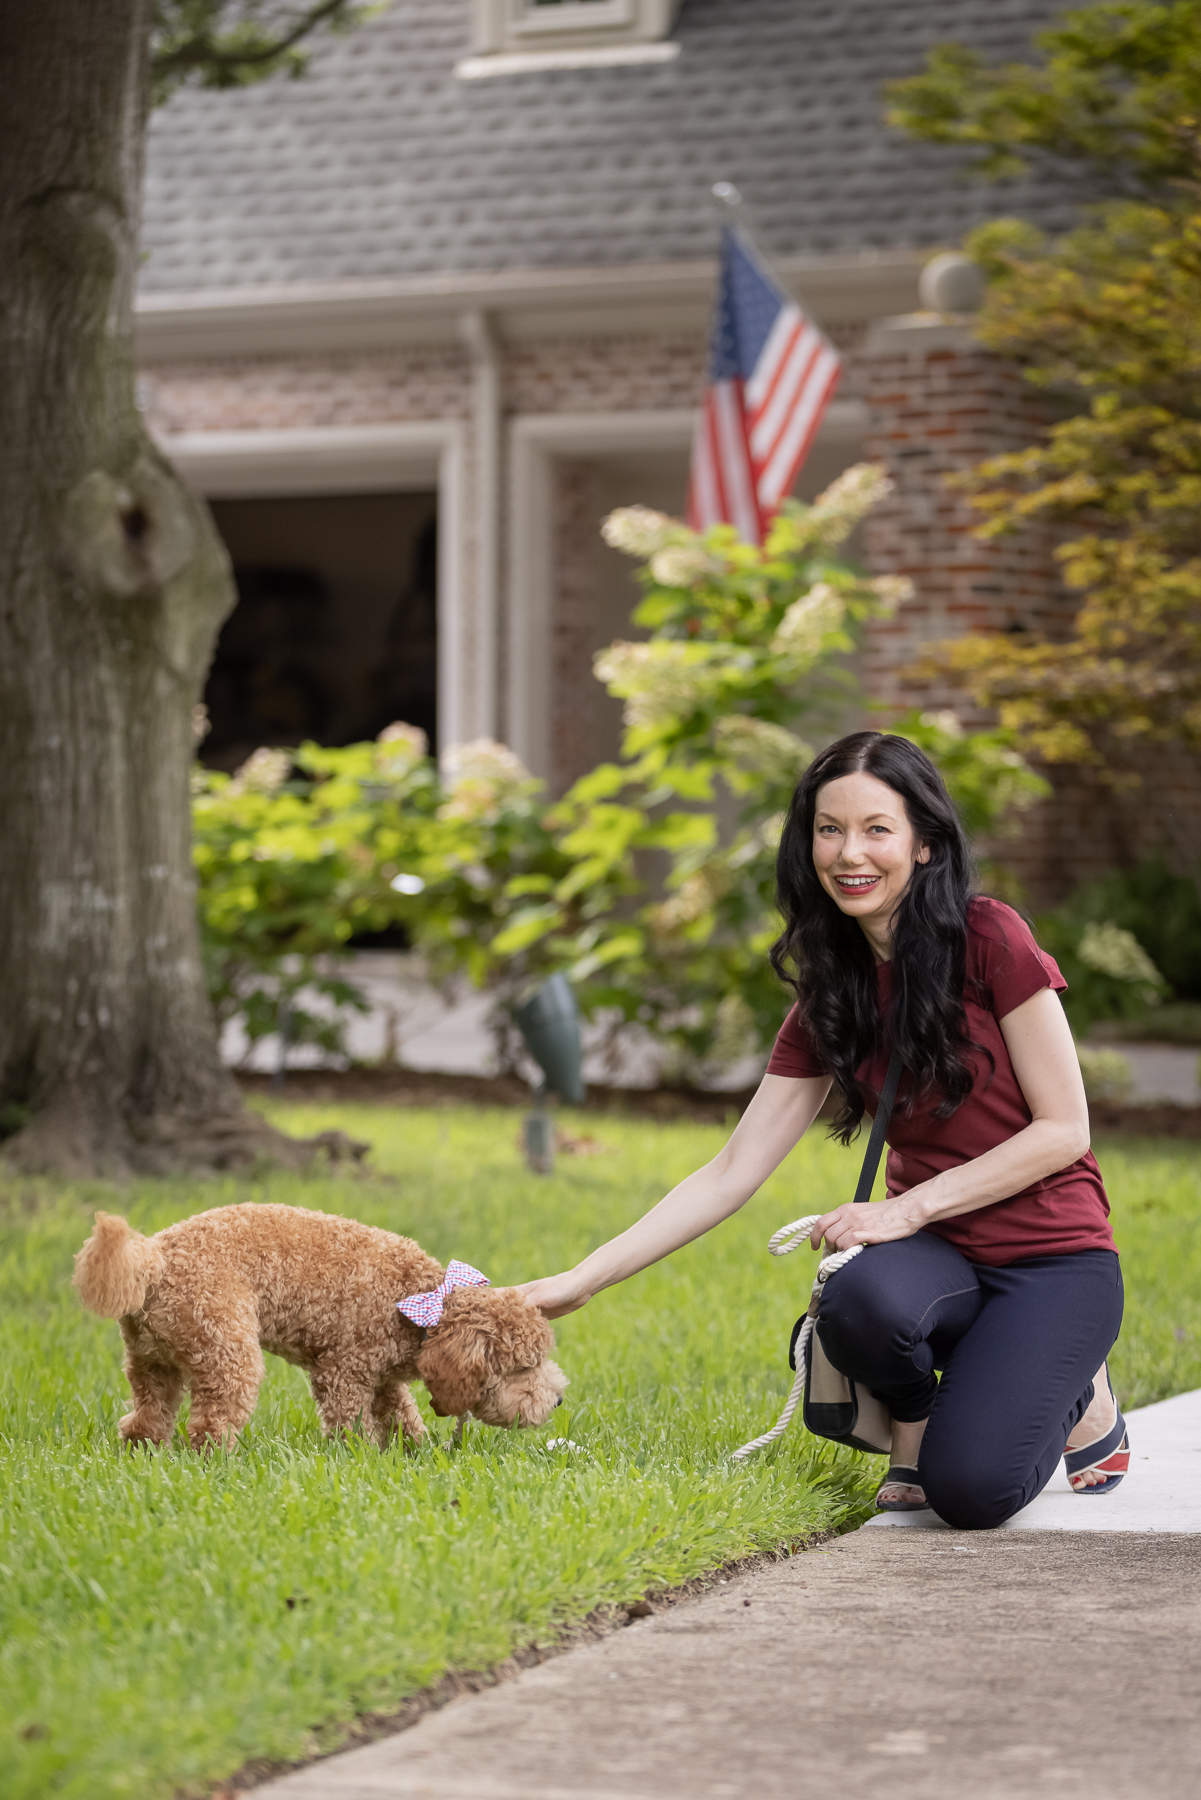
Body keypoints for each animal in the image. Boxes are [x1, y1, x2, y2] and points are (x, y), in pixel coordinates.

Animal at [72, 1209, 565, 1447]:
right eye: (523, 1368)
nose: (559, 1399)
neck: (422, 1305)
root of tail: (152, 1259)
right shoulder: (344, 1369)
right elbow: (350, 1420)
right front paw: (360, 1458)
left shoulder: (380, 1376)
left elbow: (400, 1412)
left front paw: (416, 1450)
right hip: (226, 1351)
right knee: (210, 1424)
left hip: (151, 1361)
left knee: (147, 1416)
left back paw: (143, 1450)